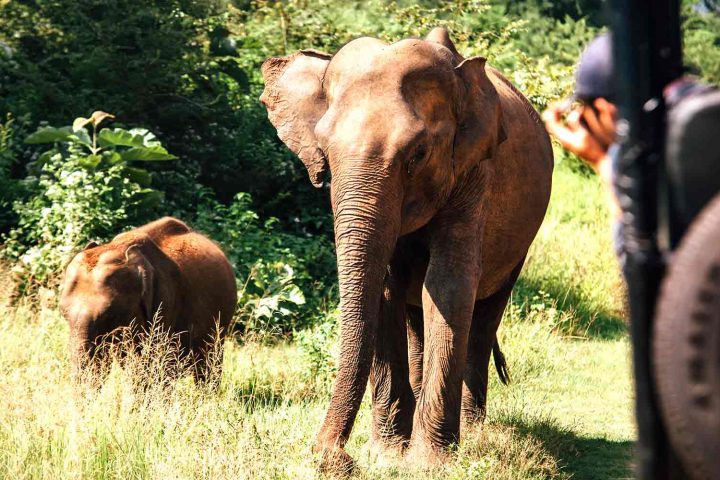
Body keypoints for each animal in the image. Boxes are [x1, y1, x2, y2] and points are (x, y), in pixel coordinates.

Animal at [262, 28, 556, 470]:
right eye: (325, 154)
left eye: (417, 154)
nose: (332, 457)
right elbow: (387, 289)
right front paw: (387, 454)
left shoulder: (474, 173)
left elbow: (448, 286)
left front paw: (429, 462)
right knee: (417, 312)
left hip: (522, 241)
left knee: (485, 315)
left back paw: (474, 430)